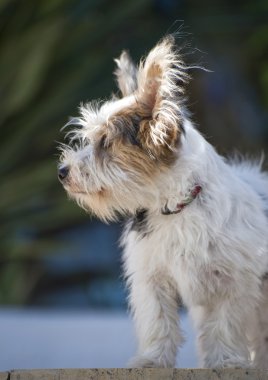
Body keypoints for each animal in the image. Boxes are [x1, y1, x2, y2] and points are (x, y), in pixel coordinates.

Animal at [57, 35, 268, 368]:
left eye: (105, 142)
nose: (62, 172)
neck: (176, 207)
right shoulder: (150, 277)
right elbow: (158, 320)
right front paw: (152, 360)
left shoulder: (235, 281)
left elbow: (226, 322)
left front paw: (225, 361)